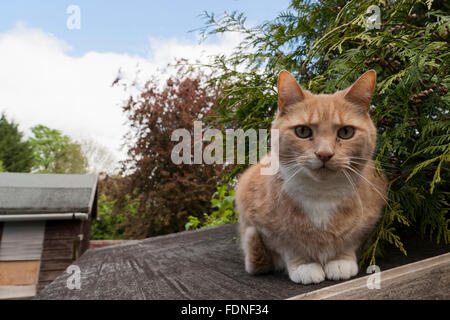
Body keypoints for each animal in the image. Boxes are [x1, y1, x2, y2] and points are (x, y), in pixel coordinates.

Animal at [236, 70, 386, 284]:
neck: (321, 194)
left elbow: (349, 240)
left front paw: (340, 260)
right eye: (303, 131)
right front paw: (304, 266)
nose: (324, 154)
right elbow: (290, 246)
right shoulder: (265, 226)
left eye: (346, 132)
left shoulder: (368, 220)